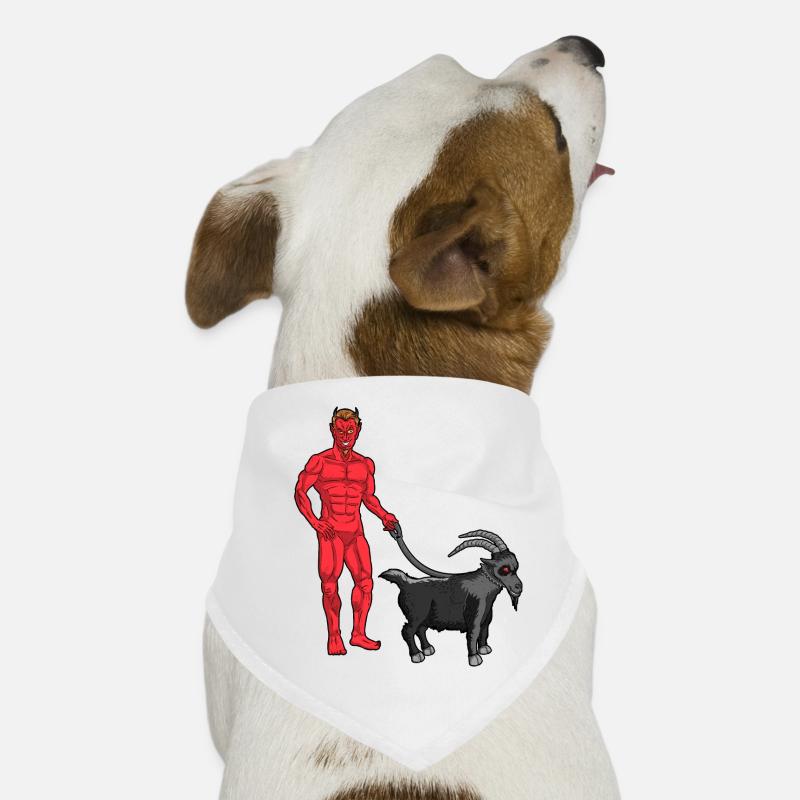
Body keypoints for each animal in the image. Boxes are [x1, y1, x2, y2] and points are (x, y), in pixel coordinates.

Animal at [380, 529, 523, 666]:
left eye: (516, 565)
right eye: (504, 569)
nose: (518, 587)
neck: (483, 585)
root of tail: (406, 582)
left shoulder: (486, 617)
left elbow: (484, 631)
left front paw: (484, 648)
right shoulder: (474, 617)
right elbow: (473, 634)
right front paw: (474, 658)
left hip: (425, 617)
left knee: (421, 630)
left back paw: (427, 648)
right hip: (416, 615)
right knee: (408, 631)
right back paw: (416, 655)